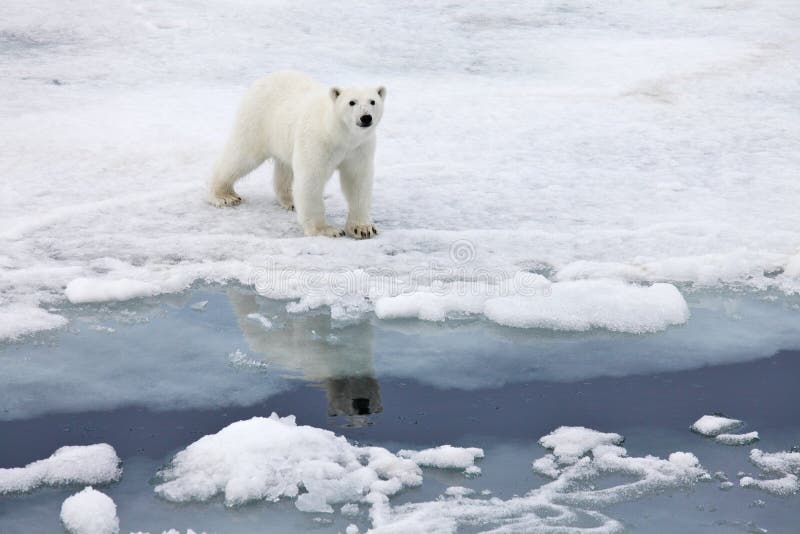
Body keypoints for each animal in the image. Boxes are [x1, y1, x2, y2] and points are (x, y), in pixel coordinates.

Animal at [208, 70, 386, 239]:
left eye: (372, 101)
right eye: (351, 102)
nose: (366, 117)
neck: (338, 134)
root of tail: (263, 80)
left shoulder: (359, 147)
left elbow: (357, 180)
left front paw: (363, 229)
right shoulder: (318, 141)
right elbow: (311, 179)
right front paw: (326, 230)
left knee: (284, 167)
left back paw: (291, 201)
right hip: (257, 120)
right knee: (241, 156)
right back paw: (224, 196)